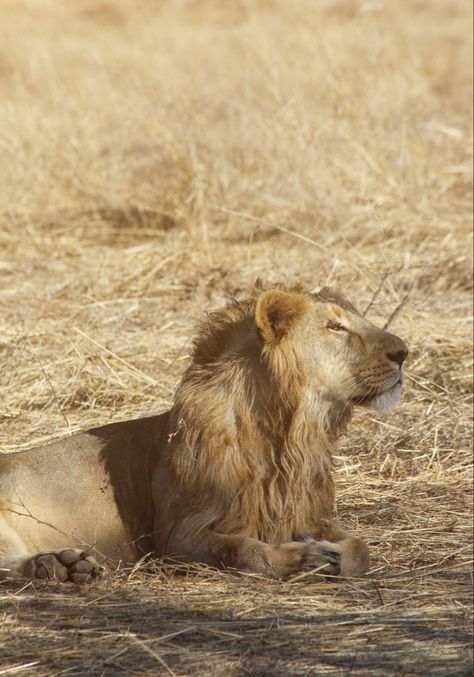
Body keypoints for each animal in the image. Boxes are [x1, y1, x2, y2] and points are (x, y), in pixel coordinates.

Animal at [0, 280, 408, 580]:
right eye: (335, 327)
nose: (403, 352)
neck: (289, 434)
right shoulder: (176, 537)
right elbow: (240, 549)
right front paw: (302, 558)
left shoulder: (309, 515)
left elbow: (361, 550)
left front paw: (335, 553)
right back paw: (56, 565)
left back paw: (63, 567)